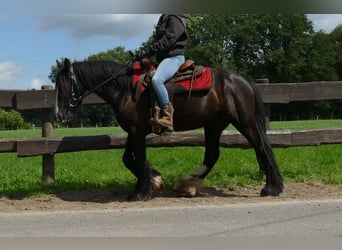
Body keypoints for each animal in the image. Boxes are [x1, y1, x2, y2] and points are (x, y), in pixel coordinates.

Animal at [54, 57, 284, 200]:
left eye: (63, 84)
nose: (60, 114)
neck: (126, 89)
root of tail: (241, 79)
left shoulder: (136, 131)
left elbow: (138, 157)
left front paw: (141, 192)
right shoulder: (134, 130)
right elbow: (128, 158)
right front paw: (154, 179)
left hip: (244, 122)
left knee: (261, 148)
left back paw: (271, 187)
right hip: (214, 125)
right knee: (213, 154)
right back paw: (189, 184)